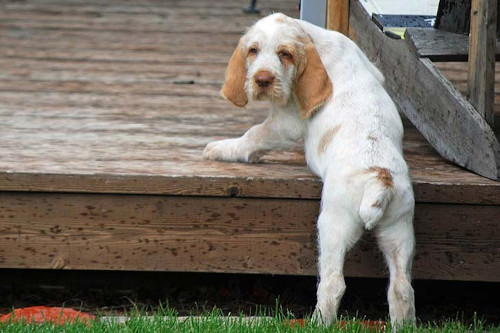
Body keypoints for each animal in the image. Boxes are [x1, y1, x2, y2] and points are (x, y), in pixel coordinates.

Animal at [202, 13, 414, 326]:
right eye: (253, 51)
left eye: (285, 54)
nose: (262, 80)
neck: (317, 41)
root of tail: (380, 178)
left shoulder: (285, 122)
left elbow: (254, 134)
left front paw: (223, 149)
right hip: (399, 229)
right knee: (402, 288)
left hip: (333, 226)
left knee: (333, 282)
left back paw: (317, 322)